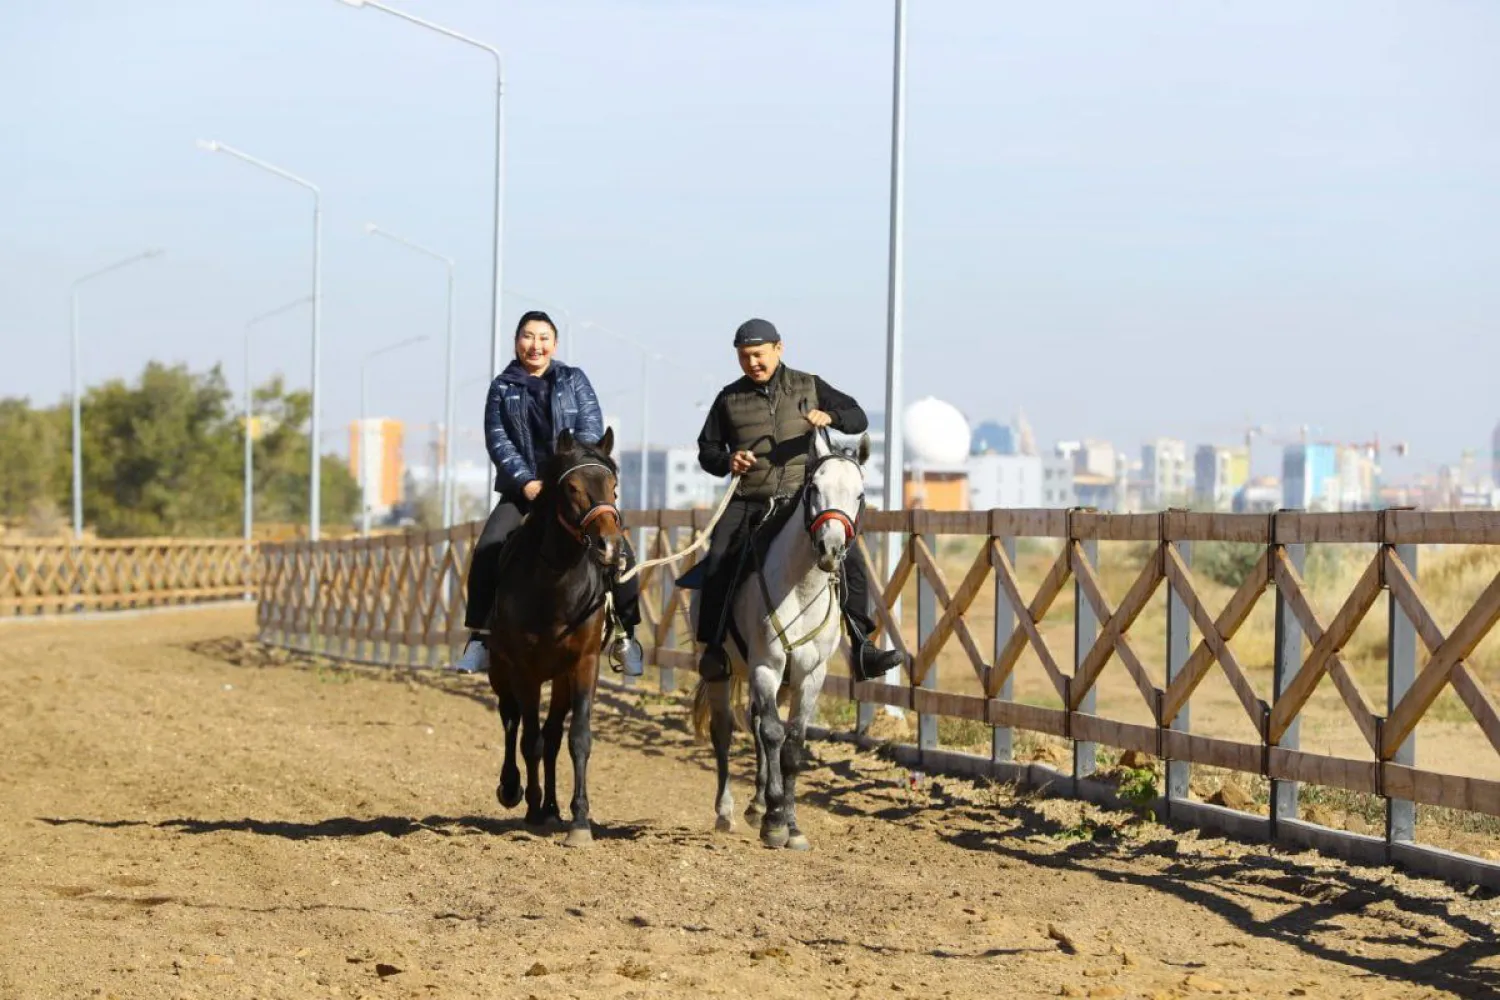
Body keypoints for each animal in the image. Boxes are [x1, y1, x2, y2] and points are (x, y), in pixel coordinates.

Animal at [489, 425, 624, 851]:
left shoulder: (583, 665)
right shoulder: (524, 670)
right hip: (500, 671)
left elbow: (577, 738)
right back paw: (515, 791)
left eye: (613, 486)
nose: (609, 547)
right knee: (512, 721)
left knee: (550, 736)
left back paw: (552, 808)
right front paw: (530, 807)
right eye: (573, 488)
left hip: (561, 679)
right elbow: (527, 738)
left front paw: (579, 821)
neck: (556, 586)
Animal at [687, 431, 870, 851]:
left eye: (859, 494)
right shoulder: (766, 666)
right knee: (726, 732)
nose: (831, 549)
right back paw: (727, 811)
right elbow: (772, 733)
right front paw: (774, 822)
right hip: (722, 671)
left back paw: (756, 804)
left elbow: (792, 744)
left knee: (756, 725)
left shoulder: (810, 675)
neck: (801, 588)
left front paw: (790, 823)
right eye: (814, 488)